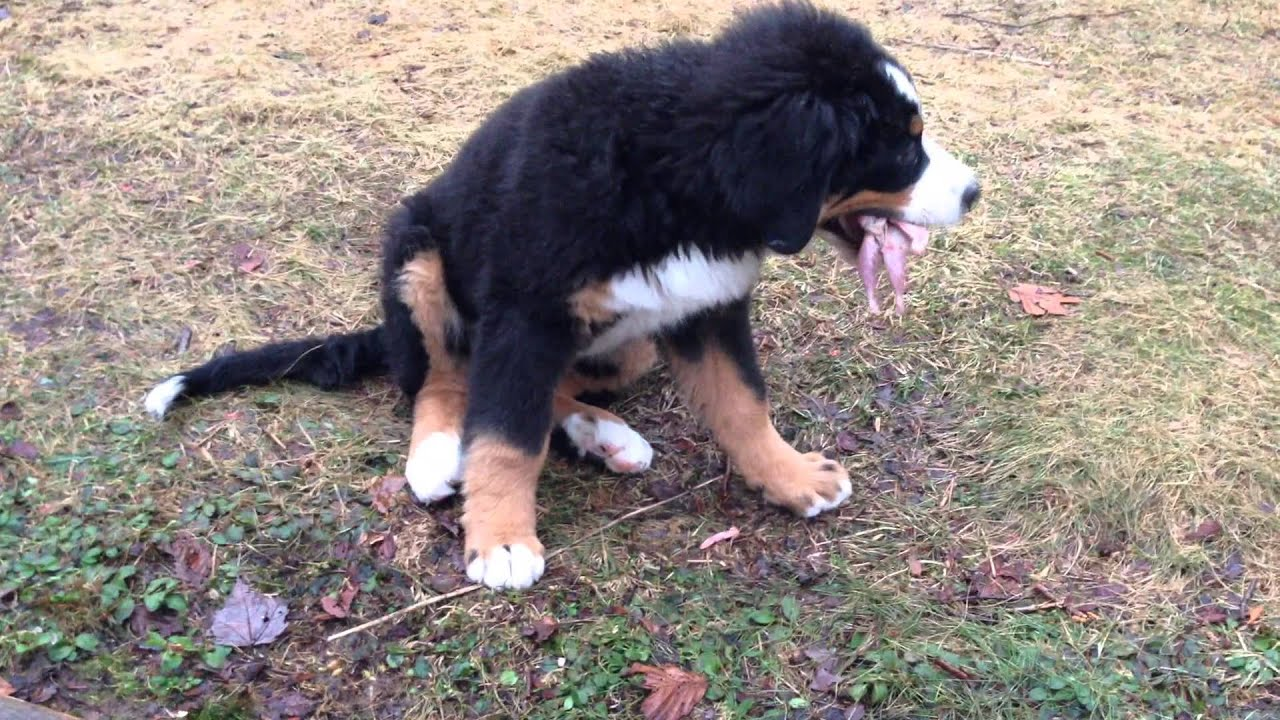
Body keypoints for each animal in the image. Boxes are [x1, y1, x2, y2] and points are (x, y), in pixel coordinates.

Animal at [144, 1, 981, 590]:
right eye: (902, 145)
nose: (974, 192)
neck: (675, 180)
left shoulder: (706, 307)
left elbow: (743, 404)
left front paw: (792, 477)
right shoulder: (526, 311)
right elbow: (505, 436)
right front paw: (502, 541)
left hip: (630, 341)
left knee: (545, 388)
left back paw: (601, 433)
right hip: (418, 252)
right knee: (444, 381)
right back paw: (441, 452)